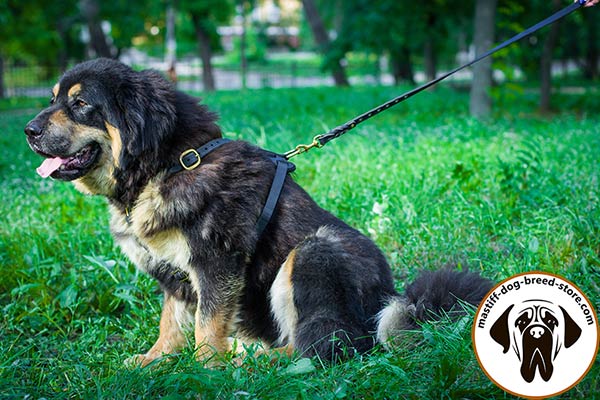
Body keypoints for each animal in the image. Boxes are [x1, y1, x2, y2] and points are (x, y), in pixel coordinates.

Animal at [23, 57, 492, 368]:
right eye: (52, 99)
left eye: (81, 104)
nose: (29, 130)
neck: (168, 164)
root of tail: (390, 300)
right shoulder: (174, 275)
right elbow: (170, 323)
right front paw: (155, 360)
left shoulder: (216, 262)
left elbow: (206, 325)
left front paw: (204, 371)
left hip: (313, 250)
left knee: (327, 345)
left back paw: (254, 361)